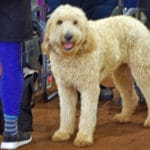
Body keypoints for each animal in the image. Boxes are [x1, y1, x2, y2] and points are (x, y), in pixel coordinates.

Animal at [41, 4, 150, 146]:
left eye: (75, 22)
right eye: (59, 22)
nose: (68, 36)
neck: (72, 56)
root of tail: (137, 21)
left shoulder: (89, 88)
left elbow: (87, 114)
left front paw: (83, 137)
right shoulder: (65, 88)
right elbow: (66, 112)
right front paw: (63, 132)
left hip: (141, 70)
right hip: (121, 72)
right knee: (131, 96)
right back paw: (124, 116)